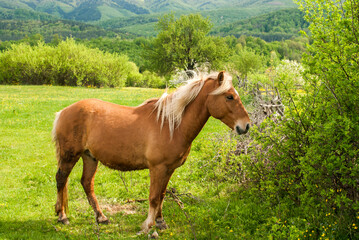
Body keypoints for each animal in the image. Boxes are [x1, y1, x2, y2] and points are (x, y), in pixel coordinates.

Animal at [52, 71, 250, 232]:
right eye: (229, 97)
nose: (246, 126)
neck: (171, 125)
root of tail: (63, 112)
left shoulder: (169, 169)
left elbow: (162, 195)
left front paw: (161, 222)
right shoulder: (157, 168)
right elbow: (154, 197)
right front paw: (149, 226)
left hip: (90, 157)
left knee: (87, 183)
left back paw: (101, 217)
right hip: (70, 156)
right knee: (61, 179)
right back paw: (63, 217)